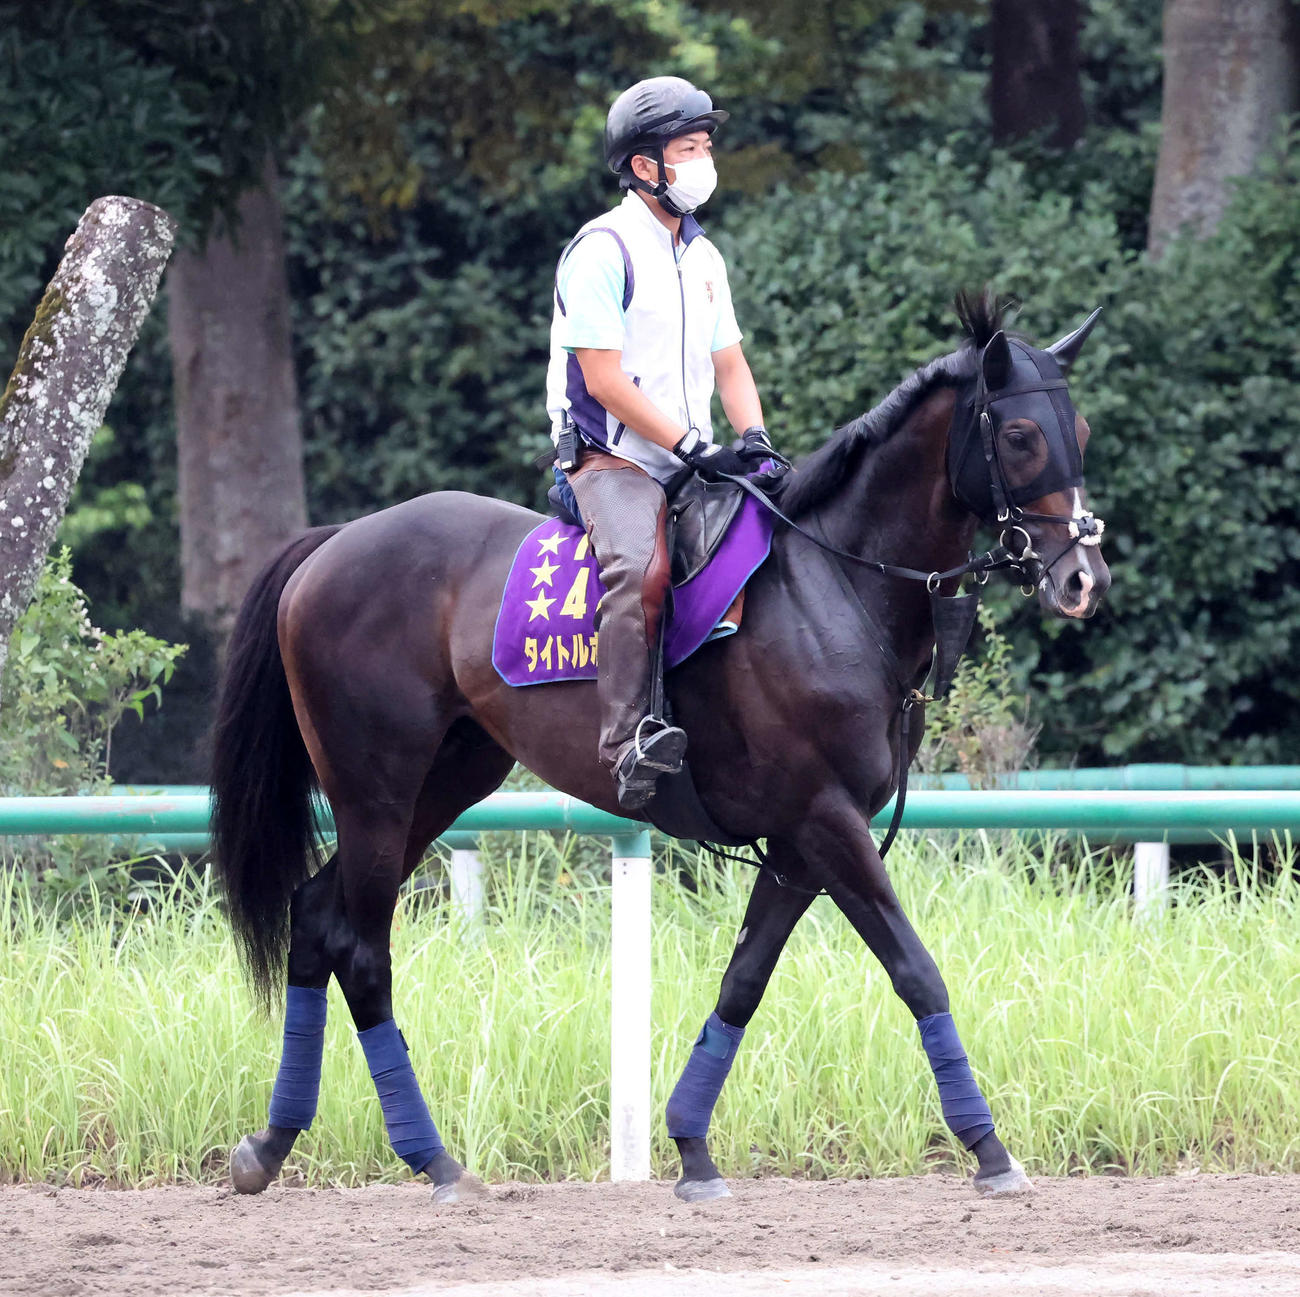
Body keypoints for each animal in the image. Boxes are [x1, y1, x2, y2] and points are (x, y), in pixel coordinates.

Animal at [212, 291, 1110, 1204]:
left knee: (316, 916)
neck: (835, 585)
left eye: (1078, 428)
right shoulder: (827, 823)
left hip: (446, 779)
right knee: (361, 951)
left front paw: (692, 1147)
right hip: (376, 791)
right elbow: (916, 968)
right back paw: (433, 1159)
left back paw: (272, 1142)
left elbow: (743, 982)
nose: (1084, 577)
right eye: (1020, 435)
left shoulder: (799, 841)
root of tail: (331, 544)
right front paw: (989, 1148)